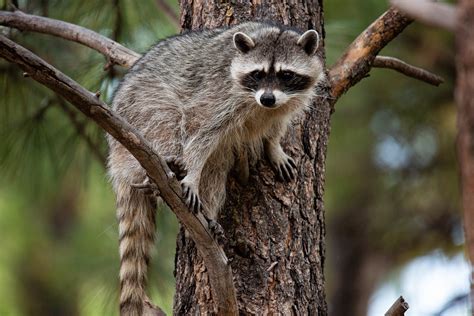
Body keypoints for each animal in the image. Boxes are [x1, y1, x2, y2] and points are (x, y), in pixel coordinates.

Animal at [106, 21, 326, 314]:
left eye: (286, 75)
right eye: (257, 74)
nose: (267, 98)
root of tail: (115, 154)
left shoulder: (286, 102)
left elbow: (276, 125)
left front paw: (274, 145)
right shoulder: (220, 92)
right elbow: (199, 128)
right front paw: (191, 174)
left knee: (215, 172)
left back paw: (208, 212)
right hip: (139, 109)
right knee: (167, 120)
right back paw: (166, 168)